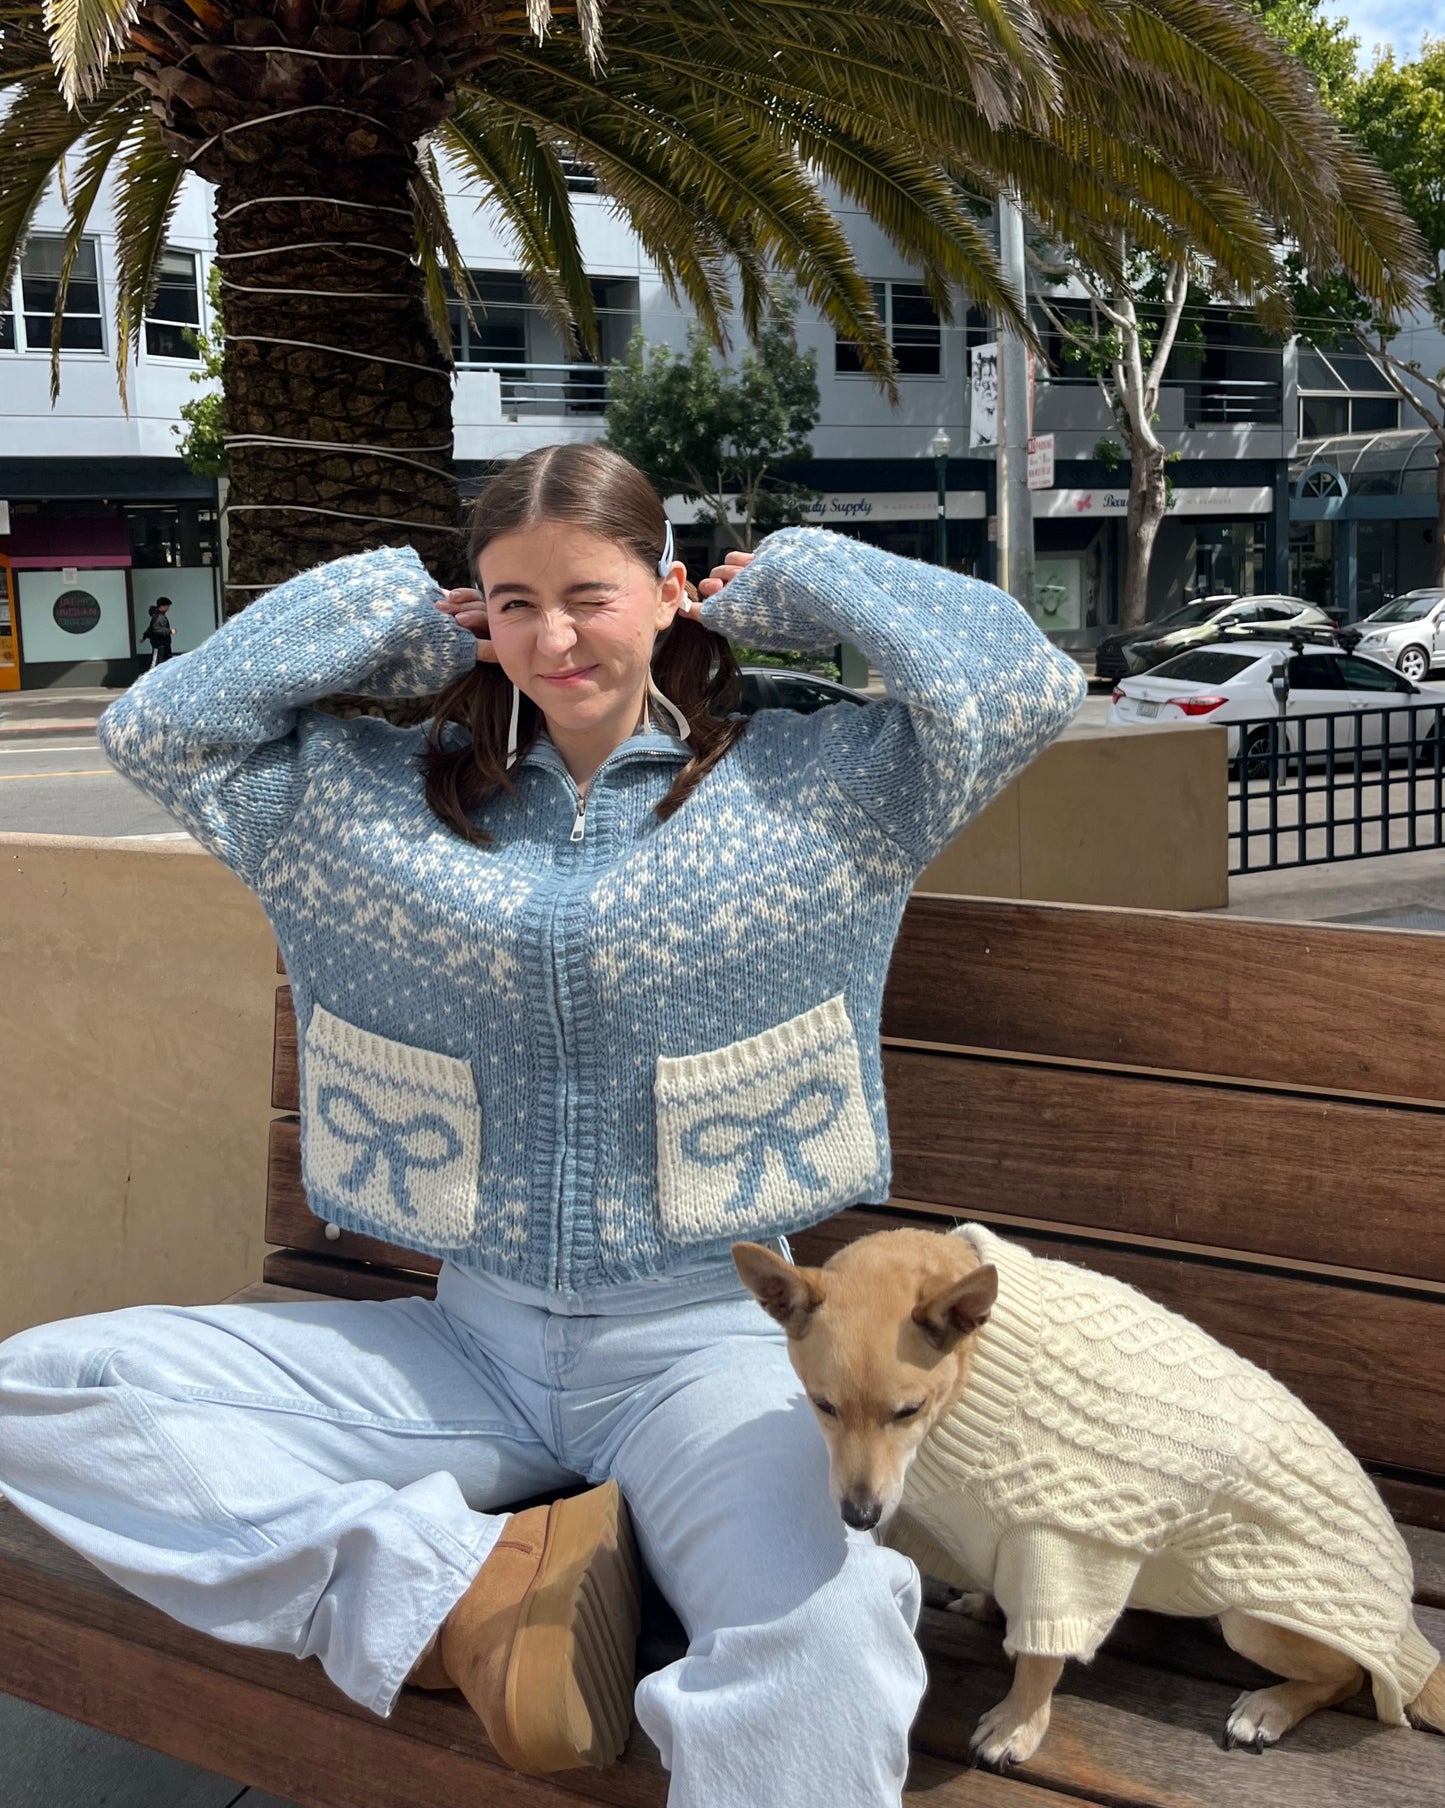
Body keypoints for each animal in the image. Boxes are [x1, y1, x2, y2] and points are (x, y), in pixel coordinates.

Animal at [741, 1229, 1439, 1764]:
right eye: (822, 1405)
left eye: (907, 1410)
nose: (859, 1515)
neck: (973, 1370)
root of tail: (1407, 1628)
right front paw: (988, 1603)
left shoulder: (1063, 1544)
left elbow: (1040, 1654)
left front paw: (1018, 1724)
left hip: (1252, 1620)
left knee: (1353, 1676)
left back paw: (1272, 1706)